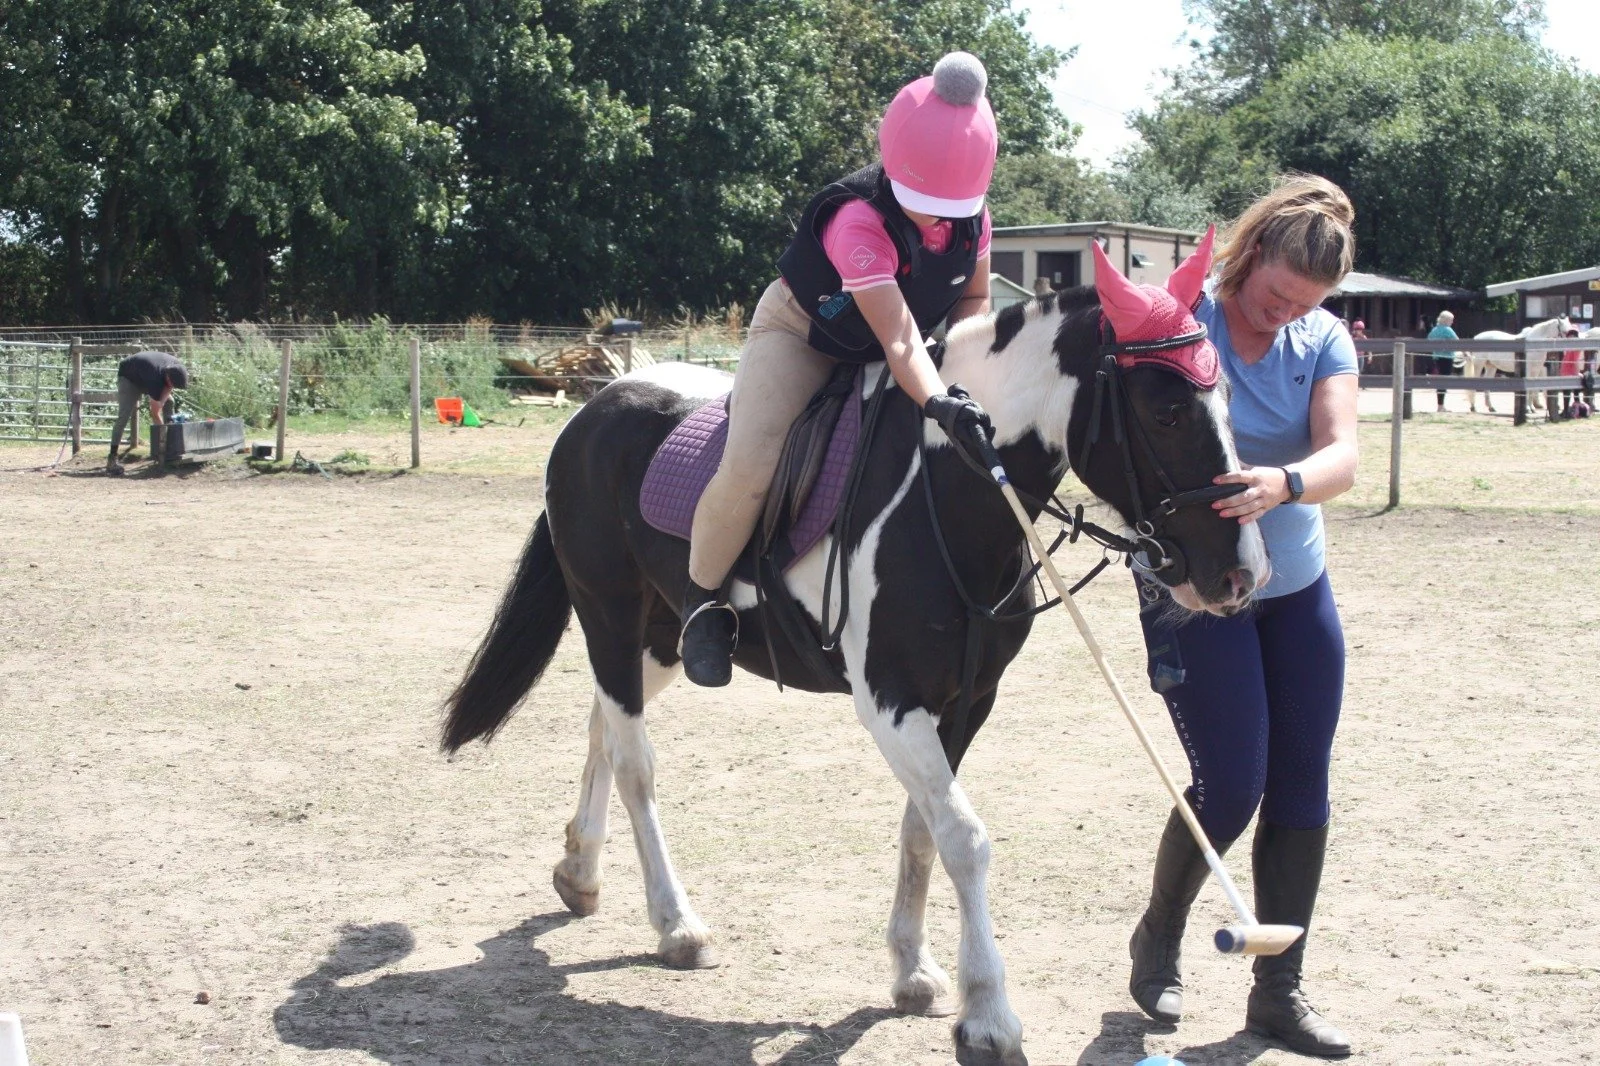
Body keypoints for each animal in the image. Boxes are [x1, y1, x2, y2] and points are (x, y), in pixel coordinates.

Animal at [439, 235, 1267, 1066]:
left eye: (1229, 399)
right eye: (1165, 411)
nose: (1241, 574)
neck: (949, 489)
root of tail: (592, 411)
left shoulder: (965, 700)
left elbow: (923, 830)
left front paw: (914, 971)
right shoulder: (892, 702)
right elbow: (964, 837)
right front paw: (989, 1016)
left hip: (659, 639)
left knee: (604, 729)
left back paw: (578, 873)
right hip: (608, 618)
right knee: (636, 761)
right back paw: (676, 924)